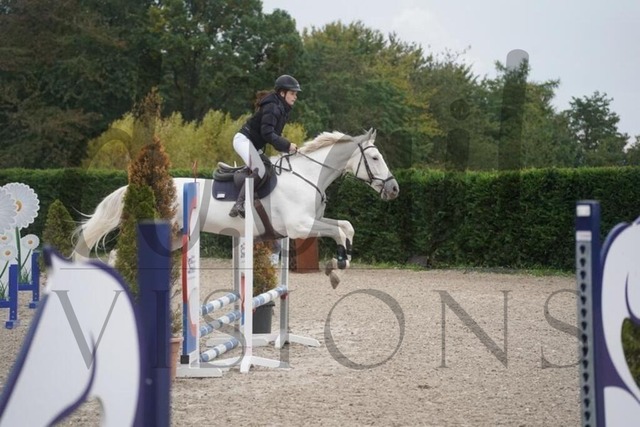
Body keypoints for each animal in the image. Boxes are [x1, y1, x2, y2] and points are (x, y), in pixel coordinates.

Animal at [73, 129, 399, 287]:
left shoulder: (311, 222)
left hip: (175, 236)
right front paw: (338, 265)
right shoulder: (300, 227)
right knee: (119, 255)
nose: (394, 189)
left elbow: (346, 226)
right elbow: (339, 230)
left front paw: (340, 263)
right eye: (374, 159)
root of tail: (147, 187)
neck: (306, 174)